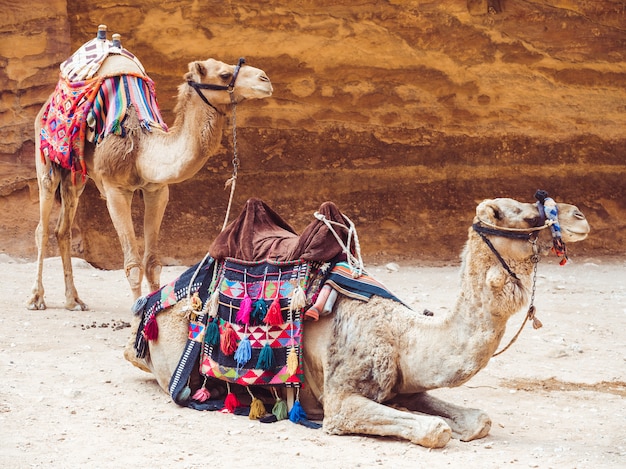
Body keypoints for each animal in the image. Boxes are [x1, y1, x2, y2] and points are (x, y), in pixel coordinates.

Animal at [27, 29, 270, 308]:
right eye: (224, 74)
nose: (265, 79)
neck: (142, 149)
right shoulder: (115, 190)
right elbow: (133, 264)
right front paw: (136, 311)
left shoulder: (157, 189)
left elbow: (153, 263)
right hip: (47, 159)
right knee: (42, 227)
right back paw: (36, 298)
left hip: (76, 174)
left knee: (63, 228)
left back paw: (74, 300)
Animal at [123, 194, 588, 446]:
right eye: (526, 214)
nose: (579, 215)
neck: (404, 336)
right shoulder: (341, 400)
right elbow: (435, 429)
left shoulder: (405, 383)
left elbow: (477, 420)